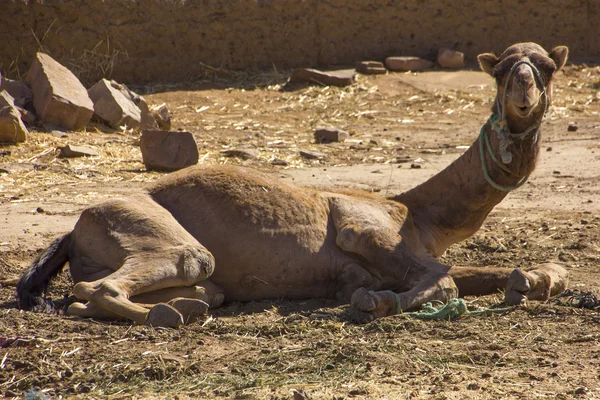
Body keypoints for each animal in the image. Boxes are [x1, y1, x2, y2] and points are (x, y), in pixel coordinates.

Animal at [16, 42, 572, 326]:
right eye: (500, 71)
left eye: (547, 68)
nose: (523, 89)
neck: (417, 214)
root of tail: (72, 228)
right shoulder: (362, 229)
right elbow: (446, 277)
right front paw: (376, 302)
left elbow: (483, 271)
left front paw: (536, 279)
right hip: (155, 233)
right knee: (110, 283)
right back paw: (170, 316)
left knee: (162, 291)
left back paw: (183, 307)